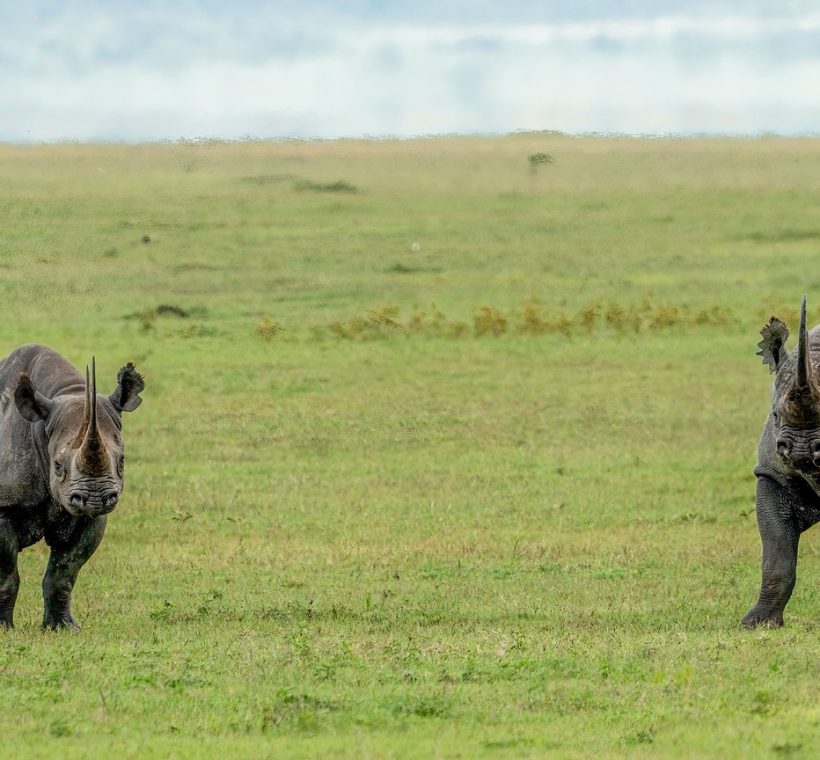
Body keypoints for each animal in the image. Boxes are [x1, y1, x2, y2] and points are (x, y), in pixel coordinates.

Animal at [0, 344, 144, 629]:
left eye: (122, 460)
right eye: (57, 465)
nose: (96, 498)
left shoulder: (91, 518)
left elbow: (63, 573)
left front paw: (63, 628)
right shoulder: (3, 506)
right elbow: (6, 575)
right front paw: (3, 629)